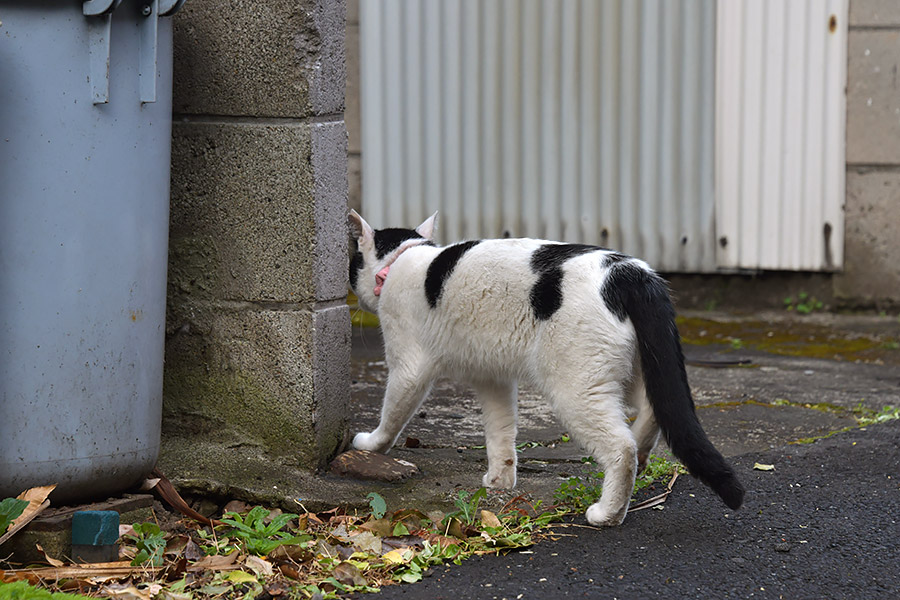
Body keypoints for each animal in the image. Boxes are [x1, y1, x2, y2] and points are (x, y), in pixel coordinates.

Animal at [348, 210, 740, 524]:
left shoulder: (408, 366)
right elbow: (500, 430)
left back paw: (609, 512)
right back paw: (643, 455)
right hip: (637, 369)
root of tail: (630, 271)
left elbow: (393, 413)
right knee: (655, 411)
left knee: (621, 446)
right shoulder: (492, 378)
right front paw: (501, 480)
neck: (403, 258)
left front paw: (372, 444)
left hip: (578, 387)